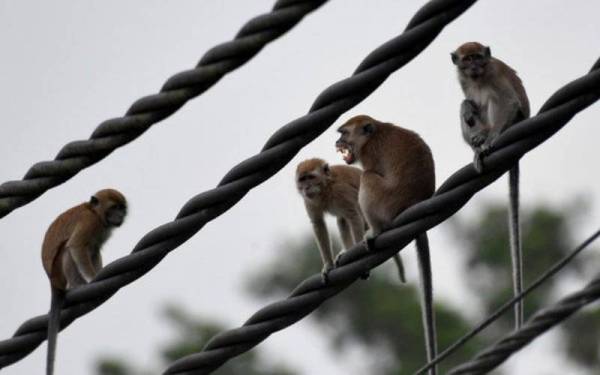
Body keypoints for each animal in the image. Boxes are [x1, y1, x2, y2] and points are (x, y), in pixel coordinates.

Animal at [41, 189, 128, 375]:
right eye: (114, 208)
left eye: (122, 208)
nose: (120, 216)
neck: (95, 212)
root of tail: (52, 283)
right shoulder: (90, 222)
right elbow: (77, 246)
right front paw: (93, 278)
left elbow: (93, 249)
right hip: (59, 272)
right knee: (68, 248)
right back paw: (77, 286)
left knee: (93, 249)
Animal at [336, 115, 438, 375]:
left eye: (344, 133)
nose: (337, 142)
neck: (376, 130)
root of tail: (413, 204)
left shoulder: (370, 153)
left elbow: (367, 172)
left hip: (386, 203)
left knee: (368, 177)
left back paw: (375, 231)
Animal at [450, 41, 528, 328]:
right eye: (467, 59)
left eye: (477, 57)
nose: (473, 66)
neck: (478, 77)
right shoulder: (463, 80)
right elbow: (467, 100)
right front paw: (469, 113)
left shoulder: (494, 74)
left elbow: (507, 100)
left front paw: (492, 138)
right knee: (469, 107)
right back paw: (477, 140)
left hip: (517, 120)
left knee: (495, 101)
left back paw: (487, 140)